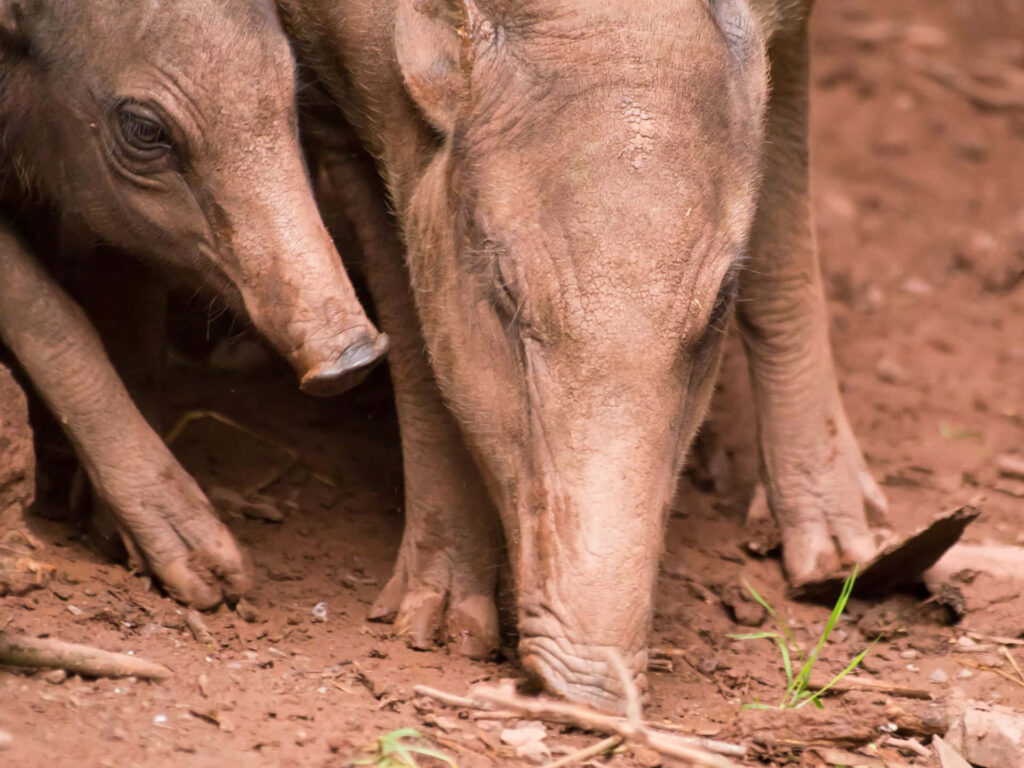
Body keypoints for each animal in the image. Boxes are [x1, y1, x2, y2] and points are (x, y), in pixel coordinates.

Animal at [0, 0, 388, 608]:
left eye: (291, 91)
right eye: (144, 128)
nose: (355, 357)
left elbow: (132, 314)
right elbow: (46, 309)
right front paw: (212, 579)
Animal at [281, 0, 888, 709]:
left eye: (718, 307)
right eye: (504, 288)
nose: (590, 692)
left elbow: (784, 235)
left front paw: (844, 558)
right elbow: (411, 319)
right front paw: (437, 632)